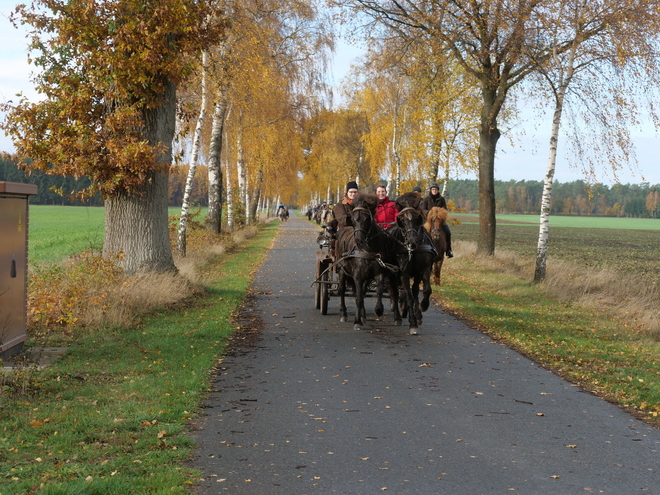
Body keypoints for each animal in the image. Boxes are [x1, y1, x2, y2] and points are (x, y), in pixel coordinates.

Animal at [332, 194, 400, 330]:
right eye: (352, 220)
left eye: (367, 218)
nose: (359, 240)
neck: (368, 250)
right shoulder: (357, 276)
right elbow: (358, 298)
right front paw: (357, 321)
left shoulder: (379, 273)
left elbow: (378, 290)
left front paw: (378, 310)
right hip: (342, 270)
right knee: (342, 290)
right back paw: (344, 314)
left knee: (363, 292)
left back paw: (363, 316)